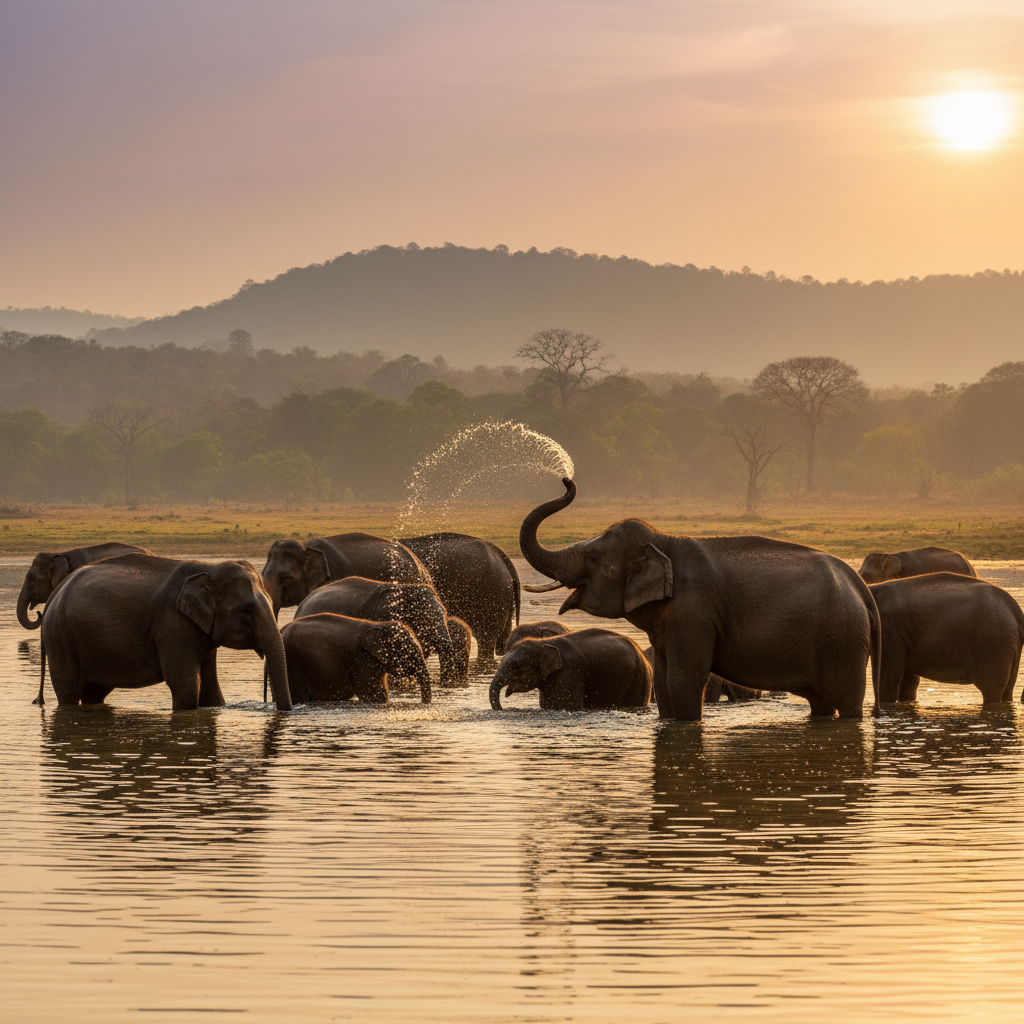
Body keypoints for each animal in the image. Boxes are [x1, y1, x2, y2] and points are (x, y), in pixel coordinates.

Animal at [40, 553, 291, 711]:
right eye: (247, 610)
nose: (281, 711)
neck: (208, 570)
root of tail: (56, 591)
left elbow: (211, 691)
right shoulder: (172, 624)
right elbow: (186, 686)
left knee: (94, 693)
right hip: (61, 637)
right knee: (68, 690)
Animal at [489, 628, 652, 711]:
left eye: (515, 666)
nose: (504, 710)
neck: (543, 642)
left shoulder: (569, 672)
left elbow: (566, 705)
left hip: (639, 680)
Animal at [519, 478, 879, 722]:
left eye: (592, 559)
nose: (566, 479)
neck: (664, 540)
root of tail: (860, 587)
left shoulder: (694, 611)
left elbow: (684, 680)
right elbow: (664, 683)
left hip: (843, 639)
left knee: (847, 699)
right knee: (821, 703)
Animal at [869, 572, 1024, 703]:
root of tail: (1016, 610)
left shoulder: (889, 629)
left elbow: (887, 680)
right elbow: (909, 682)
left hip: (993, 642)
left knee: (991, 690)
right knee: (1007, 690)